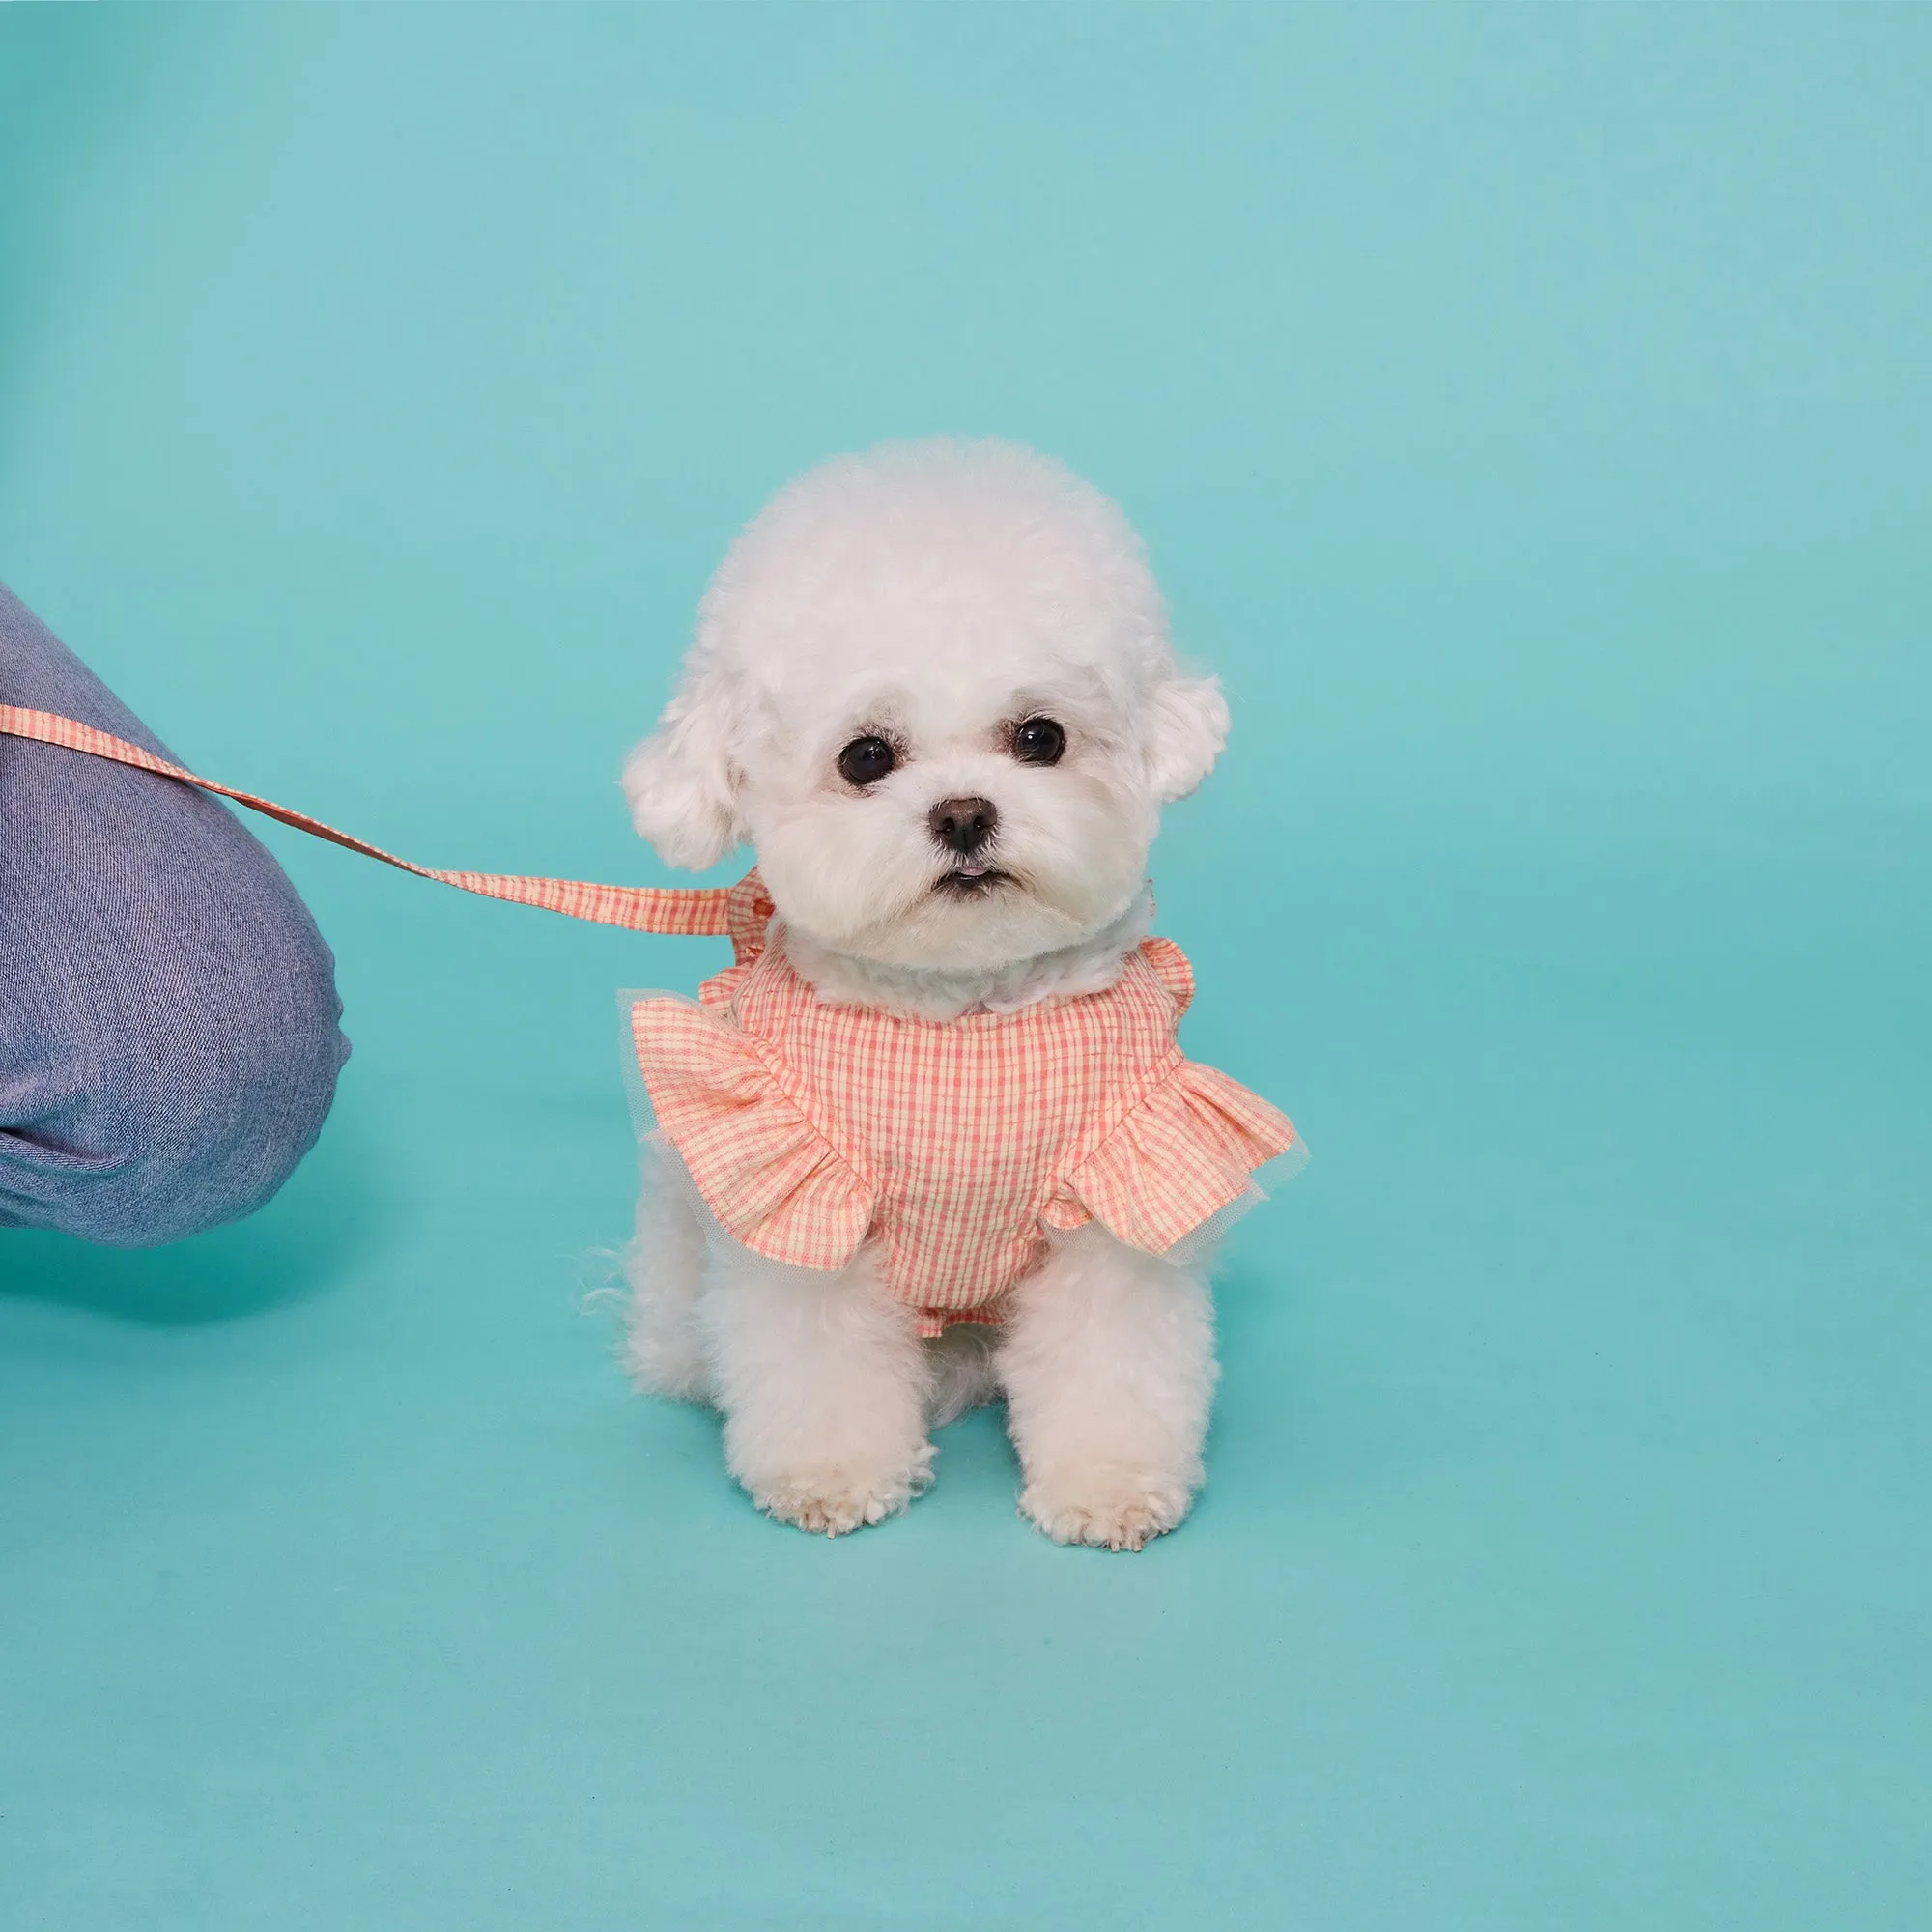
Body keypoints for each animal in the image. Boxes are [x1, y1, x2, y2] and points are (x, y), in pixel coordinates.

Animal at [618, 442, 1252, 1553]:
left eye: (1039, 736)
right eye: (865, 756)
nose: (963, 813)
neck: (962, 1023)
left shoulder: (1116, 1190)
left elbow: (1114, 1360)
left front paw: (1108, 1482)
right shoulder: (803, 1204)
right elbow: (815, 1355)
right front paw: (830, 1472)